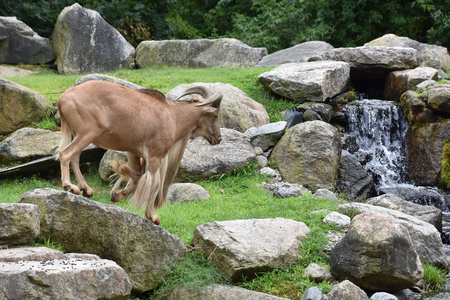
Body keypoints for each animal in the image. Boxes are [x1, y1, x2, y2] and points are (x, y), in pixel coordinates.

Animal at [57, 81, 222, 224]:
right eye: (215, 116)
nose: (218, 138)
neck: (173, 117)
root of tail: (62, 98)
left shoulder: (134, 153)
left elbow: (137, 177)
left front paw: (116, 195)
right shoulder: (155, 156)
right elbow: (152, 183)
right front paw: (152, 216)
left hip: (78, 134)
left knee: (75, 158)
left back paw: (85, 189)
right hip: (87, 133)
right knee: (65, 153)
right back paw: (69, 186)